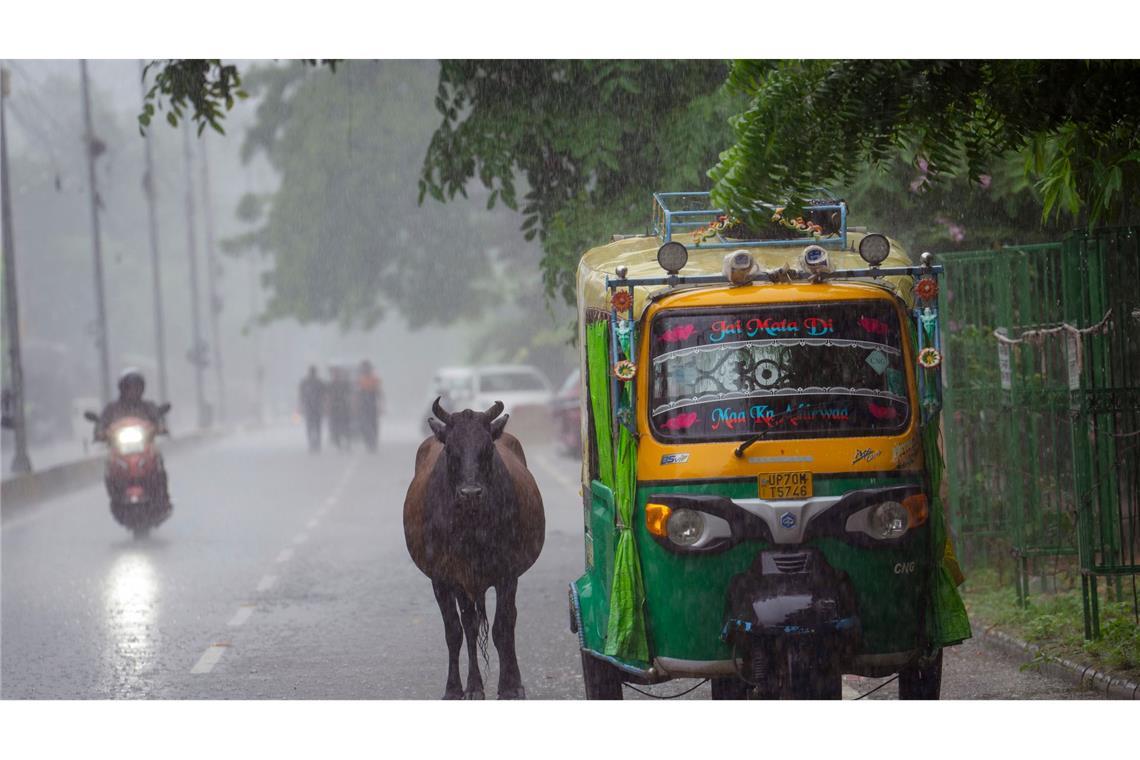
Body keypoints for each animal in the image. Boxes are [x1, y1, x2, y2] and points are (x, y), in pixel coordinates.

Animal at [403, 398, 544, 701]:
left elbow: (502, 628)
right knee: (468, 626)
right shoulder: (446, 578)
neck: (472, 525)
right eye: (450, 449)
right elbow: (456, 631)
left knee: (510, 620)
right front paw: (459, 687)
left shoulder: (507, 573)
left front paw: (509, 687)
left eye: (487, 448)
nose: (470, 493)